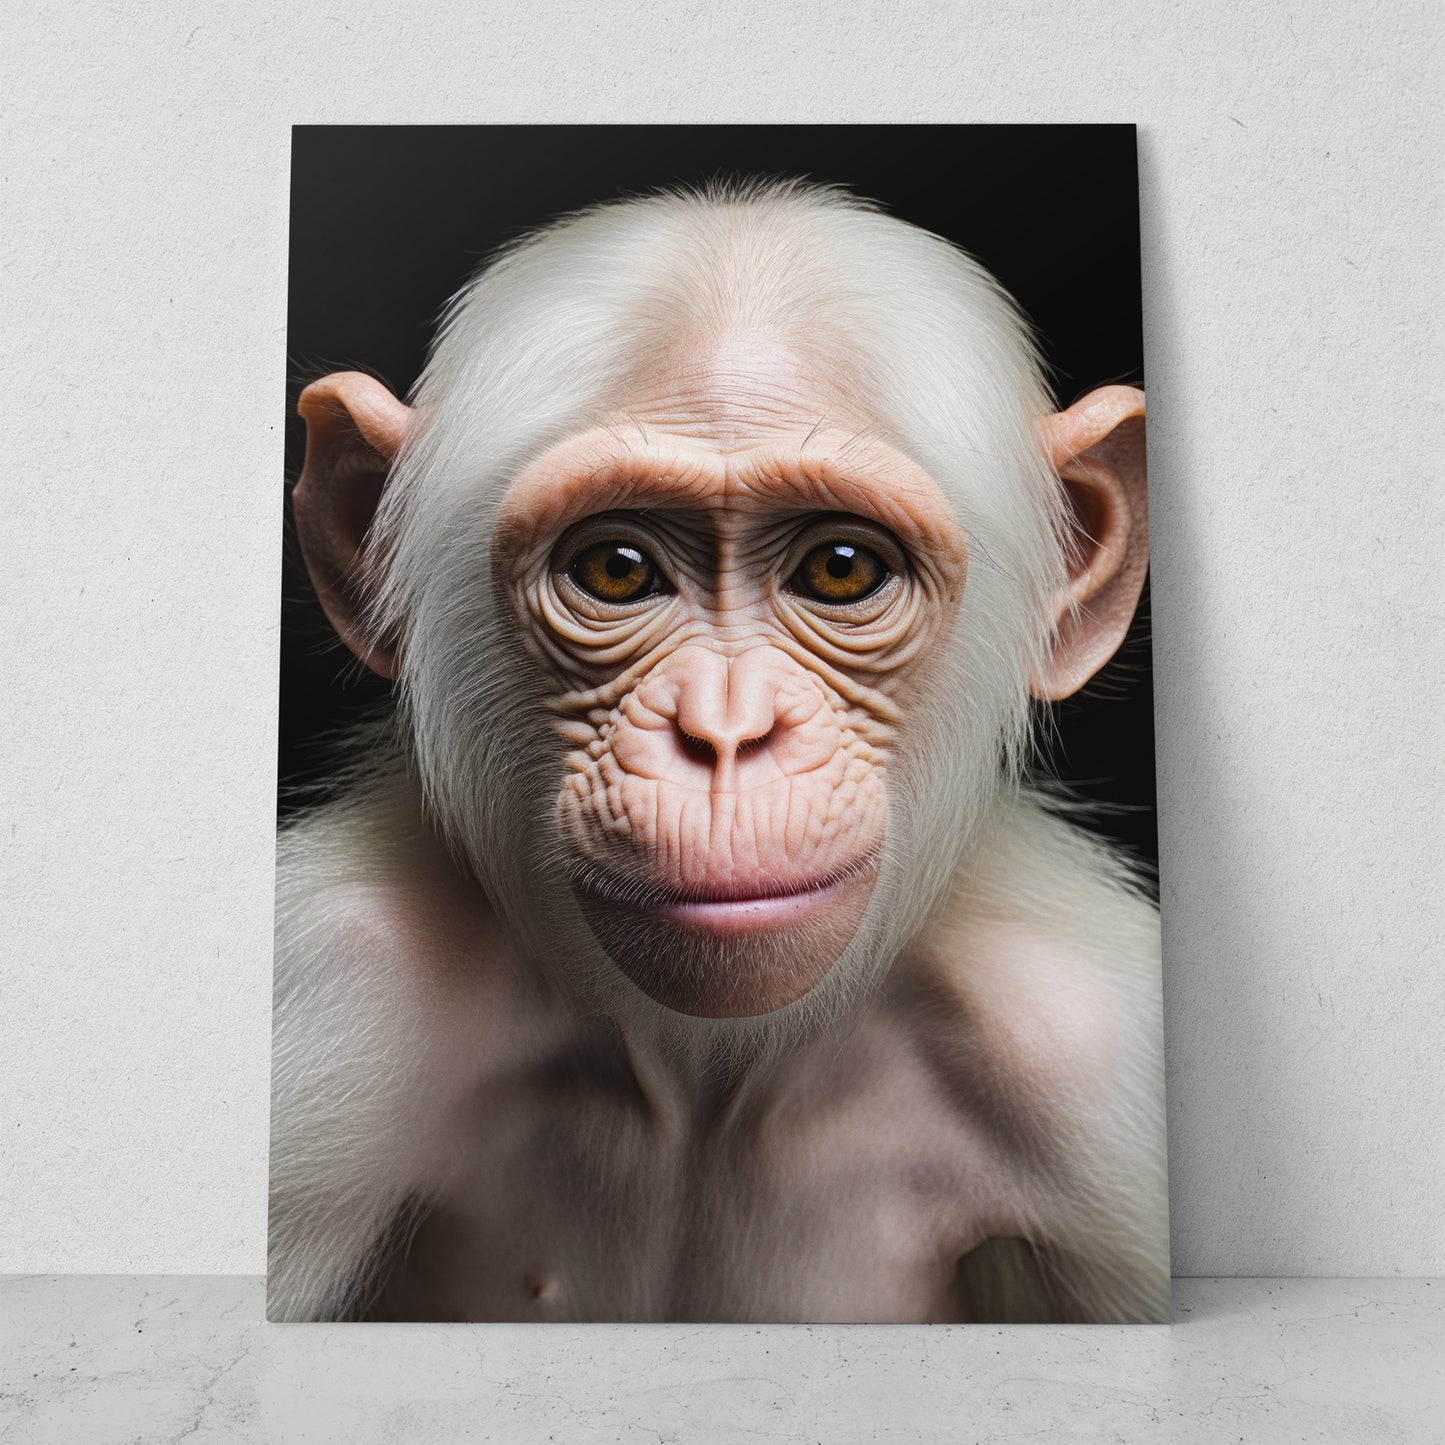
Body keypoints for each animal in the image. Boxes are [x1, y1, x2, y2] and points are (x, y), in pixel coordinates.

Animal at [268, 179, 1167, 1325]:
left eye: (839, 568)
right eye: (615, 569)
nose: (726, 732)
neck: (704, 1074)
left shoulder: (1095, 1064)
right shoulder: (330, 994)